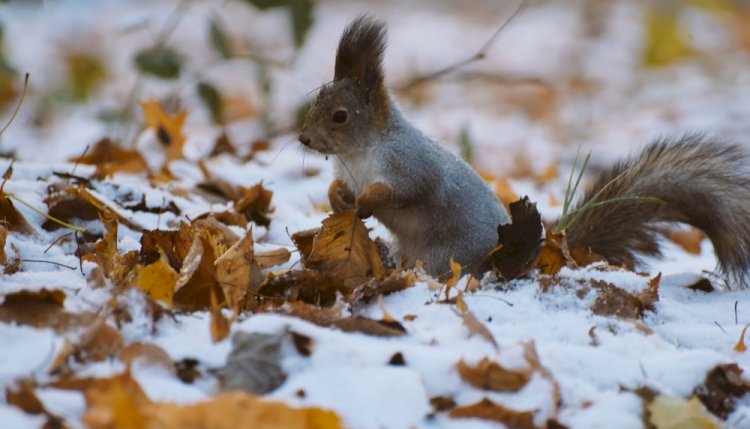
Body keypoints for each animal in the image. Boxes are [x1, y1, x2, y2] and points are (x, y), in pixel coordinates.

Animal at [298, 15, 750, 288]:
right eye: (317, 99)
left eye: (339, 116)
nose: (303, 139)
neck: (361, 153)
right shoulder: (349, 172)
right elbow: (340, 189)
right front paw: (338, 199)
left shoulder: (410, 166)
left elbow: (402, 193)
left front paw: (365, 204)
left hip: (447, 254)